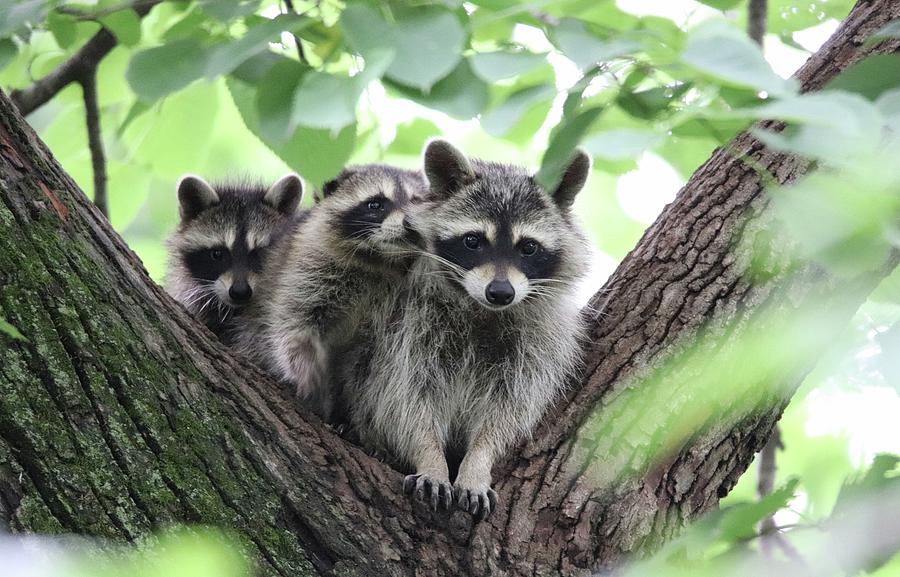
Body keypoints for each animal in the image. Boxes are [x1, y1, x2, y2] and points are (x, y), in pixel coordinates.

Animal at [234, 162, 428, 418]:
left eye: (417, 202)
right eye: (375, 204)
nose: (410, 225)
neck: (377, 259)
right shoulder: (307, 263)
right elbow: (294, 323)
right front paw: (306, 368)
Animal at [342, 141, 592, 516]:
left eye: (528, 247)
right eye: (473, 241)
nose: (500, 292)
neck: (481, 309)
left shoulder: (538, 341)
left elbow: (507, 411)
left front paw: (478, 462)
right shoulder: (408, 323)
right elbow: (405, 399)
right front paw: (430, 459)